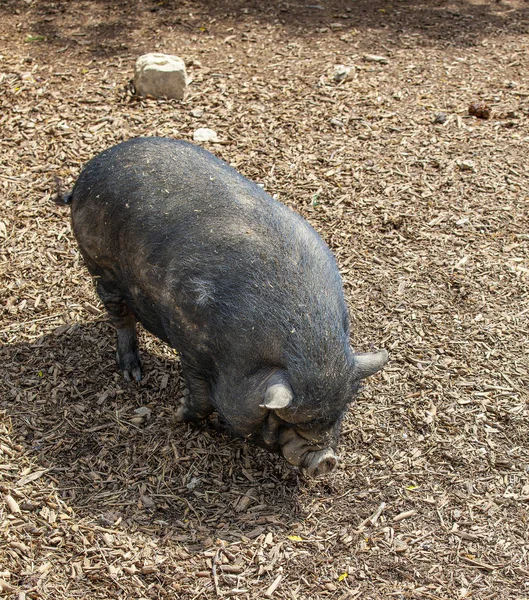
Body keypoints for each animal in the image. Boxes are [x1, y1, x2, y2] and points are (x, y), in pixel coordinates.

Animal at [66, 138, 388, 476]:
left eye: (338, 414)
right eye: (282, 420)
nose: (326, 459)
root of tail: (94, 165)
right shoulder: (190, 341)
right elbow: (201, 397)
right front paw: (177, 414)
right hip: (98, 263)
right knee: (119, 314)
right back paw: (133, 374)